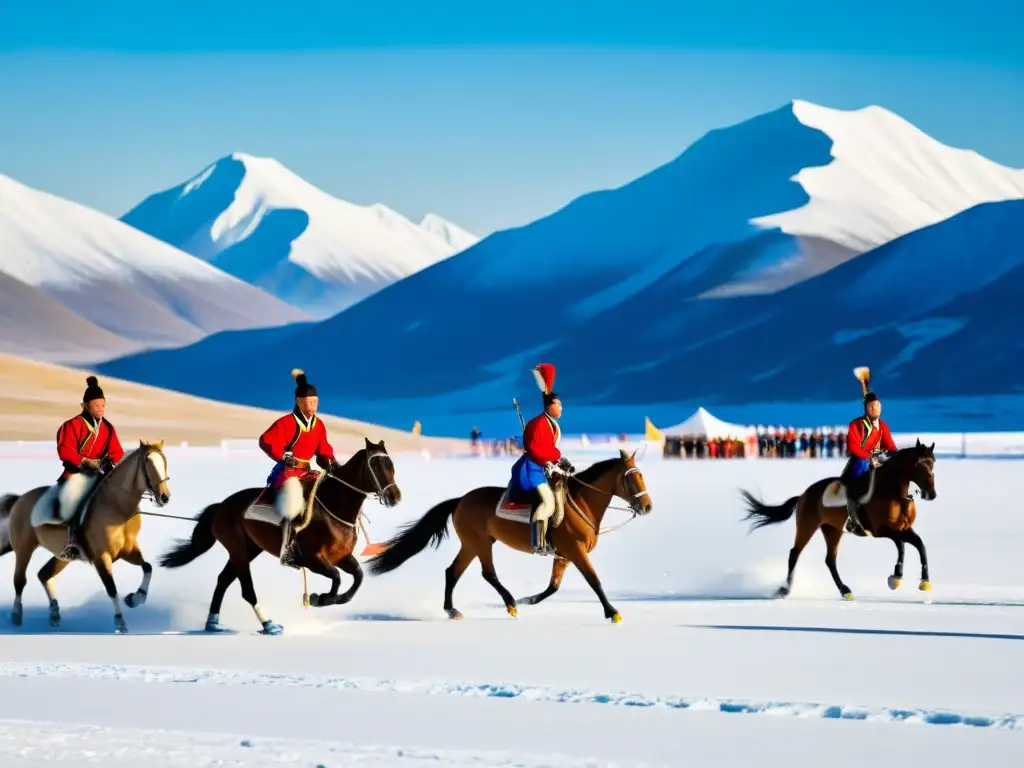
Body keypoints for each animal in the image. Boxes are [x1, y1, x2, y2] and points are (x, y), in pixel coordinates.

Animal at [0, 442, 172, 634]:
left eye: (164, 460)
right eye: (148, 462)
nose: (164, 497)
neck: (117, 508)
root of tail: (20, 499)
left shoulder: (128, 551)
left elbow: (148, 567)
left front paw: (135, 598)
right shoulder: (101, 556)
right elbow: (111, 588)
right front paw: (120, 622)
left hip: (62, 555)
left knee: (43, 574)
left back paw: (54, 614)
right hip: (24, 549)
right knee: (19, 580)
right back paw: (16, 616)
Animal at [158, 438, 399, 638]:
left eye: (391, 465)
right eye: (377, 466)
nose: (395, 497)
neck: (334, 506)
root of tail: (220, 506)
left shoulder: (341, 556)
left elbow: (357, 579)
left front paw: (325, 598)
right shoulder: (313, 559)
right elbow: (337, 577)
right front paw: (318, 598)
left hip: (249, 549)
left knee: (223, 580)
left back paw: (212, 624)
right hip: (238, 549)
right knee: (247, 590)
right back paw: (270, 625)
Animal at [370, 450, 655, 626]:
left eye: (642, 475)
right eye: (632, 478)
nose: (647, 507)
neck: (581, 502)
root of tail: (460, 500)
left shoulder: (564, 555)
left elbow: (553, 587)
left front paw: (529, 599)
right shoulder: (575, 550)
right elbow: (593, 580)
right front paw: (612, 612)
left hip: (472, 544)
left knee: (453, 571)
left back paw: (454, 610)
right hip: (479, 543)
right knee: (487, 574)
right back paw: (509, 604)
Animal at [737, 438, 937, 602]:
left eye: (933, 463)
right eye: (919, 464)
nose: (932, 494)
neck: (892, 490)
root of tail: (803, 495)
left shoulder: (904, 529)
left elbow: (920, 545)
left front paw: (924, 581)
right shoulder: (881, 530)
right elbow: (902, 546)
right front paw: (895, 578)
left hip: (832, 529)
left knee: (830, 560)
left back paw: (845, 590)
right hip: (807, 526)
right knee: (794, 554)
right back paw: (784, 590)